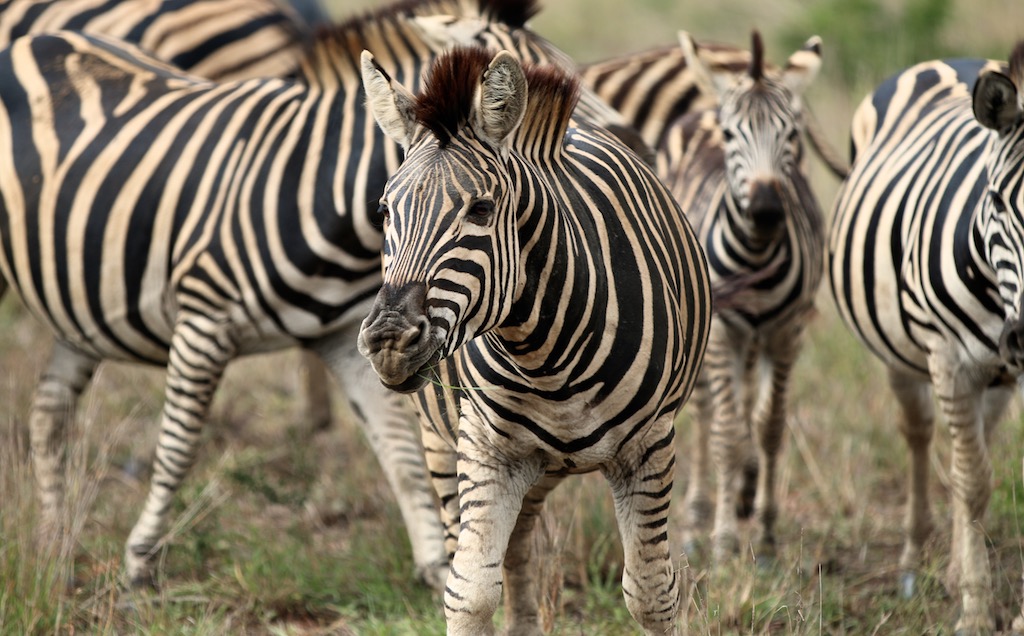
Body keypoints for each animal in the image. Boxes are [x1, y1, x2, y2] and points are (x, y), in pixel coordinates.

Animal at [0, 0, 622, 589]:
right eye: (542, 108)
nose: (631, 145)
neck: (323, 193)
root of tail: (33, 40)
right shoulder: (203, 320)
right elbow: (177, 446)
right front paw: (140, 559)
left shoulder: (346, 337)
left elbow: (398, 450)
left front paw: (432, 564)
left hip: (77, 317)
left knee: (49, 413)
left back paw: (56, 545)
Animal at [356, 45, 708, 634]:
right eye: (384, 212)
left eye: (480, 209)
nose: (388, 341)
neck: (546, 356)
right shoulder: (484, 447)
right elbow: (469, 591)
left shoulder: (651, 446)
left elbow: (652, 594)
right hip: (453, 446)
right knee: (500, 548)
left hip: (543, 464)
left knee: (520, 545)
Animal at [651, 32, 827, 561]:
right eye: (732, 137)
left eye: (793, 135)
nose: (767, 210)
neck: (756, 256)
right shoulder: (723, 333)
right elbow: (726, 433)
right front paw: (724, 538)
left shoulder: (787, 331)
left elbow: (770, 426)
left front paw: (766, 533)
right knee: (706, 409)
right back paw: (697, 515)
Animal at [827, 42, 1024, 630]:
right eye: (997, 201)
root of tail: (947, 60)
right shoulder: (951, 360)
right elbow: (974, 483)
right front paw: (976, 614)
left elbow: (971, 475)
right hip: (900, 353)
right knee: (920, 435)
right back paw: (915, 561)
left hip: (995, 377)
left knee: (972, 446)